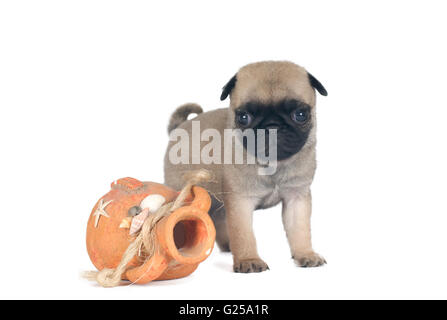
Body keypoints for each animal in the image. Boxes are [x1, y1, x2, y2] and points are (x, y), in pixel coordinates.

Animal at [164, 60, 328, 272]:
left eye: (300, 115)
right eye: (243, 117)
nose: (272, 126)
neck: (272, 164)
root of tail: (178, 129)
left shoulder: (296, 199)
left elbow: (300, 231)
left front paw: (305, 254)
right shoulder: (240, 202)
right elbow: (243, 234)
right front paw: (248, 259)